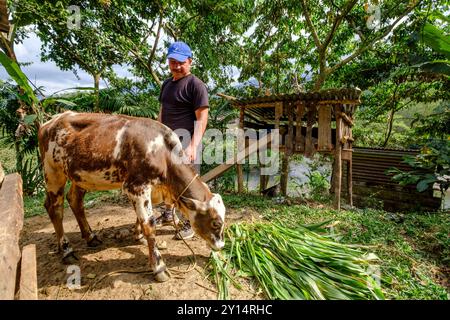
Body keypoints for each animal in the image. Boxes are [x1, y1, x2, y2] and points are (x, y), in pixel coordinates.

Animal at [37, 111, 225, 282]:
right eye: (216, 223)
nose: (221, 246)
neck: (162, 152)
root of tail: (51, 121)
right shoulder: (136, 186)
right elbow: (149, 224)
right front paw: (158, 267)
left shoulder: (148, 189)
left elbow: (140, 218)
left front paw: (138, 235)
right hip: (53, 172)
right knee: (54, 208)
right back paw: (66, 250)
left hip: (80, 176)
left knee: (75, 200)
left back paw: (90, 237)